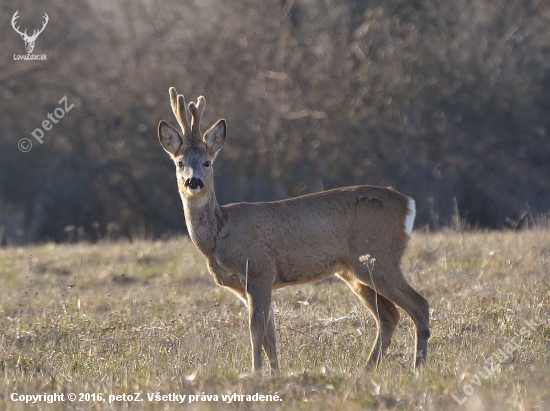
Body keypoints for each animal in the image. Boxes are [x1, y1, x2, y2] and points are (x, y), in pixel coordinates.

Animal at [157, 87, 434, 374]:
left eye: (207, 162)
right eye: (179, 162)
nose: (193, 182)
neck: (220, 233)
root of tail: (408, 204)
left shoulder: (259, 271)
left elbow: (256, 331)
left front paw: (255, 372)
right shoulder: (247, 285)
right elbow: (270, 336)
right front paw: (274, 374)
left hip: (378, 257)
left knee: (419, 305)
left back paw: (417, 368)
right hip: (353, 270)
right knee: (390, 315)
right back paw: (366, 370)